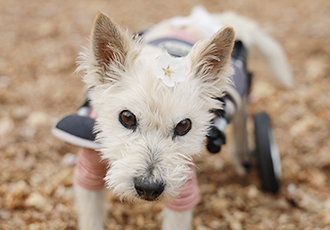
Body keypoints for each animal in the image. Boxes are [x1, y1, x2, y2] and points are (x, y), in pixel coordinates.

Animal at [65, 5, 292, 230]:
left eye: (183, 125)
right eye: (127, 117)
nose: (149, 188)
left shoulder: (184, 187)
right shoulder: (88, 172)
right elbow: (90, 219)